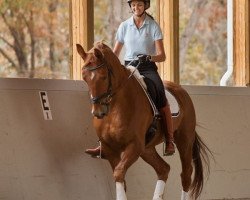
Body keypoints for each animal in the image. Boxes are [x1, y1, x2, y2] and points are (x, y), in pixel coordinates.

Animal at [76, 41, 211, 199]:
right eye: (84, 77)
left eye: (103, 76)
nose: (98, 112)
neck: (115, 108)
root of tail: (181, 90)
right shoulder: (110, 149)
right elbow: (120, 179)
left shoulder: (135, 145)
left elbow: (119, 173)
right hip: (147, 148)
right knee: (163, 169)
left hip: (184, 140)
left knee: (186, 174)